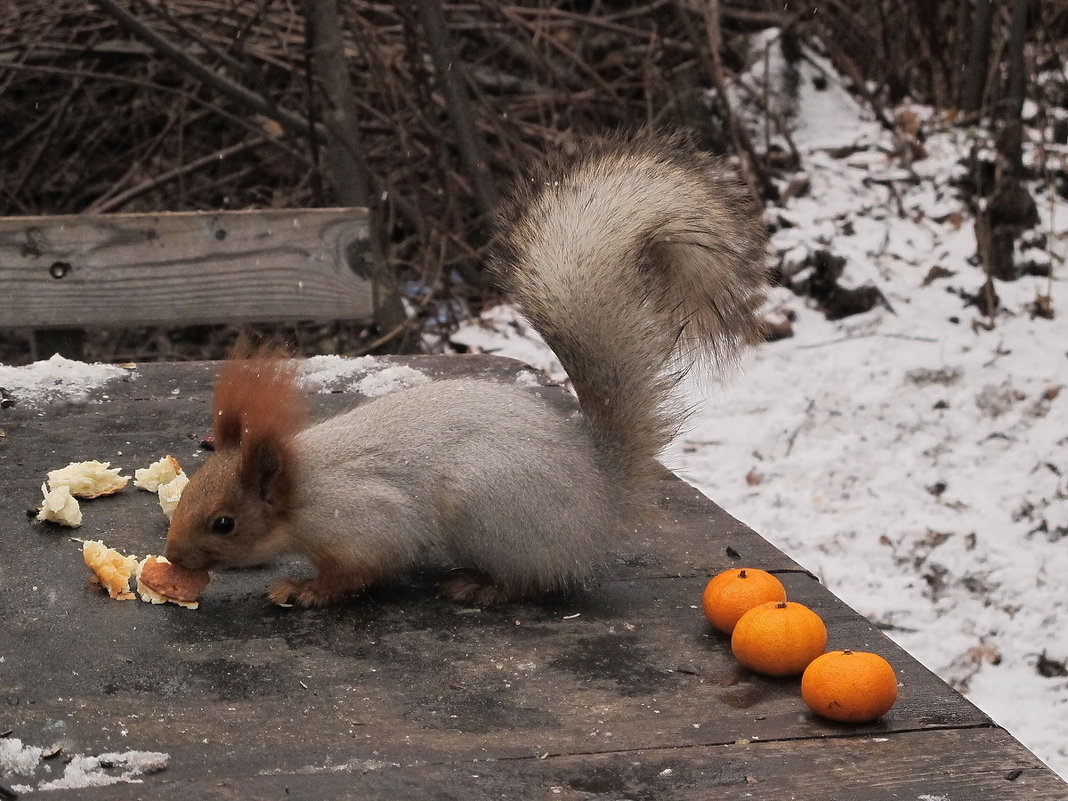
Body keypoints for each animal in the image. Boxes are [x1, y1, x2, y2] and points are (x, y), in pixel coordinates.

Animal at [162, 135, 768, 606]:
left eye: (224, 523)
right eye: (189, 494)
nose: (172, 554)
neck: (300, 487)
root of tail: (598, 497)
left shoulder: (364, 520)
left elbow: (360, 569)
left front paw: (305, 590)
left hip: (490, 513)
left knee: (536, 580)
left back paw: (482, 586)